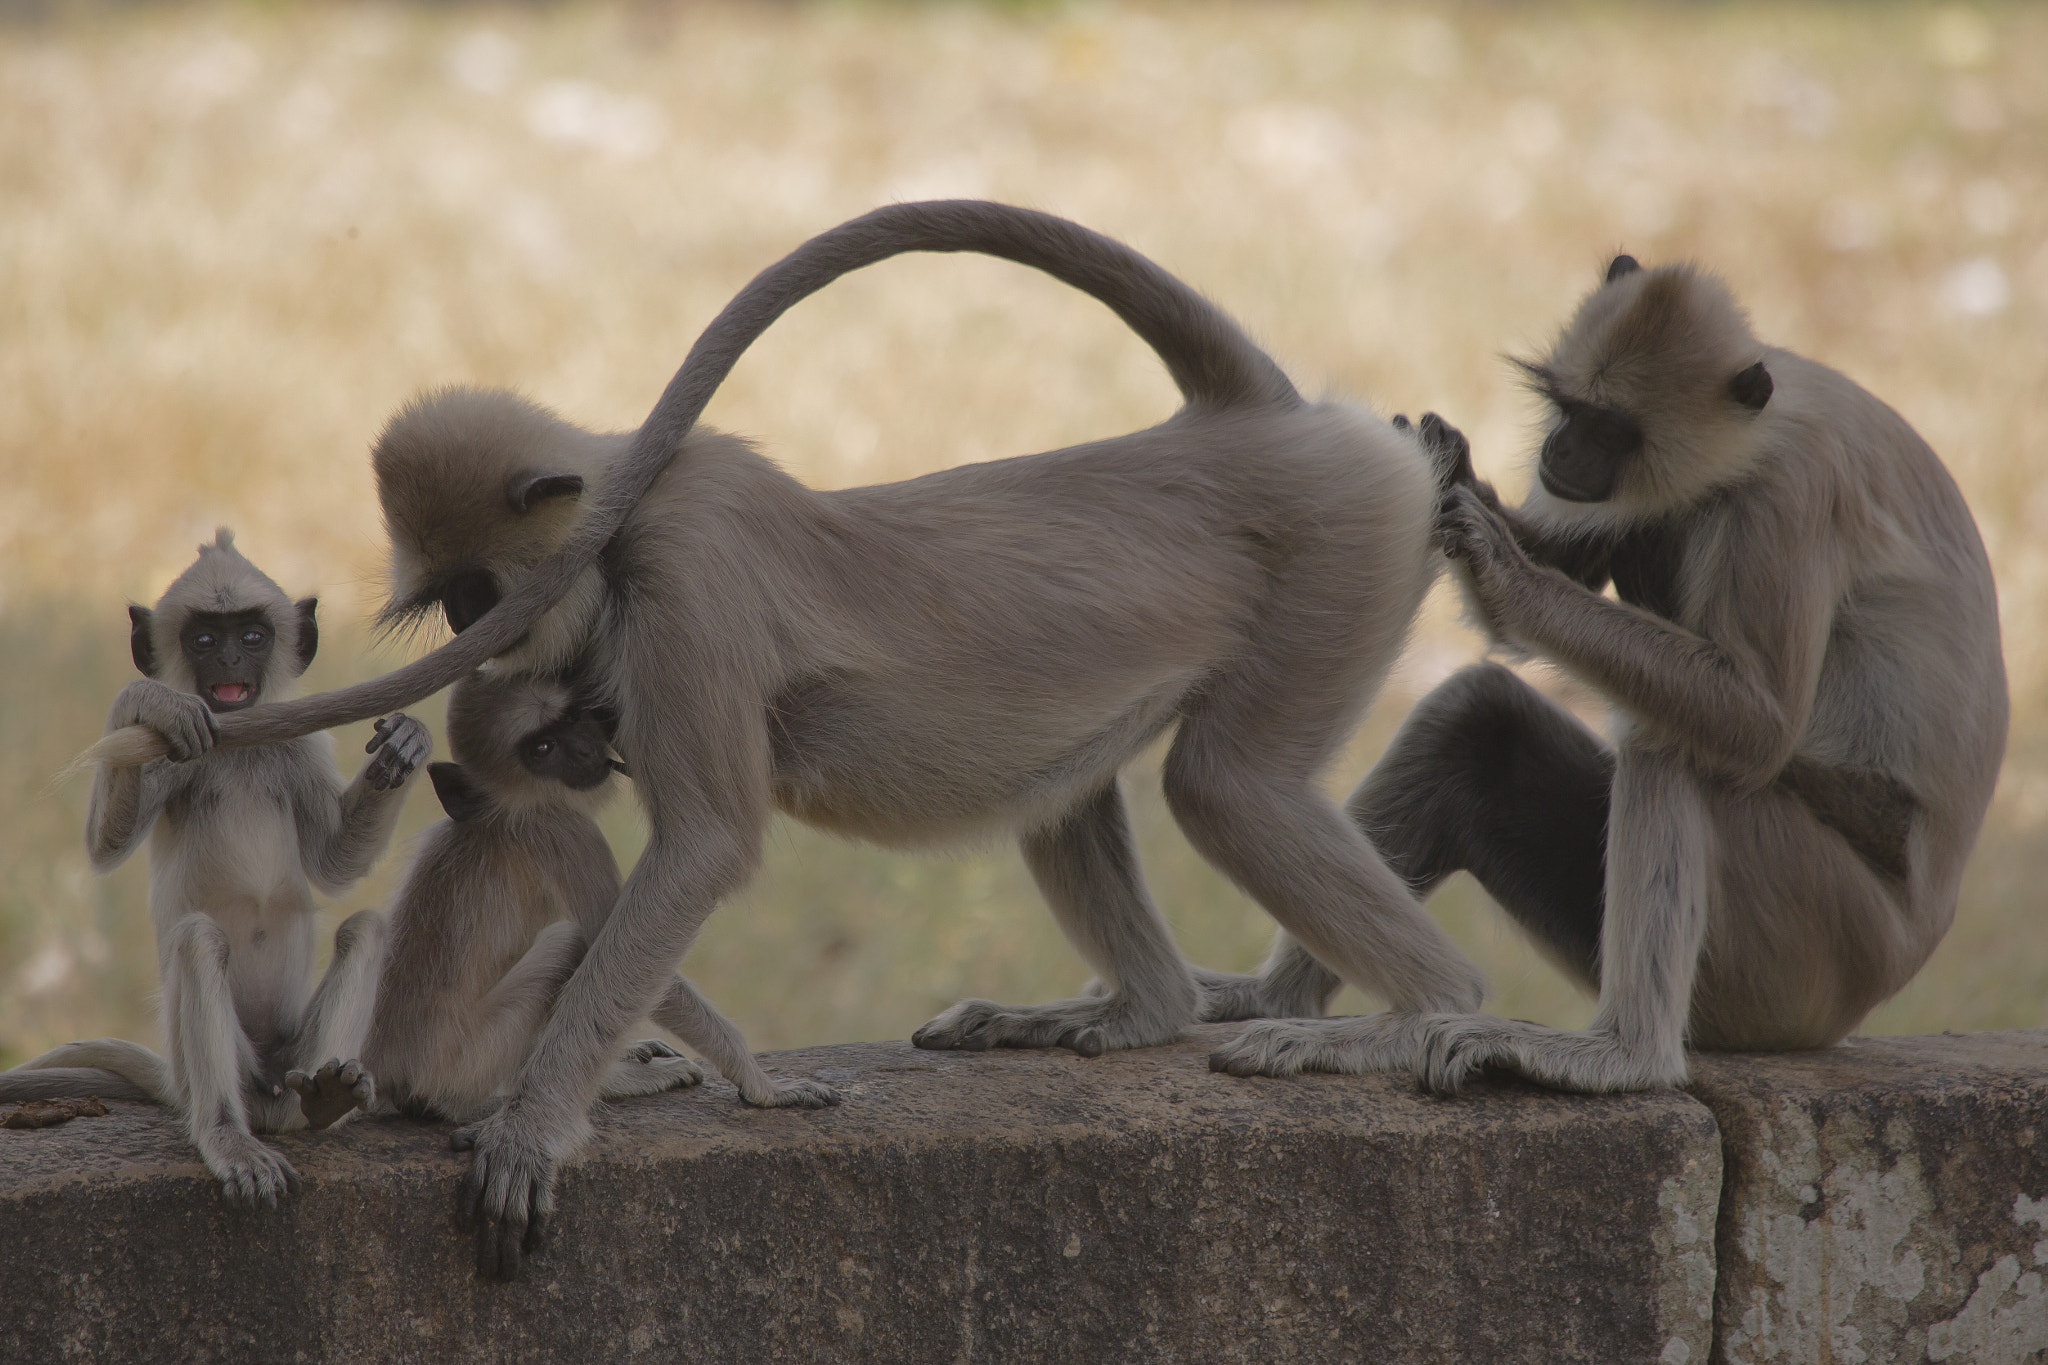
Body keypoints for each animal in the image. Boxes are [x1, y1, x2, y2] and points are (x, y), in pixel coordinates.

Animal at [4, 530, 431, 1205]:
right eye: (205, 640)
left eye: (251, 637)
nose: (230, 661)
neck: (237, 743)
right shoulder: (176, 750)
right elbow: (105, 846)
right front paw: (144, 701)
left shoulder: (298, 743)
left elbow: (335, 865)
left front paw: (406, 744)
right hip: (221, 1067)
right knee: (200, 941)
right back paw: (227, 1136)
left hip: (292, 1059)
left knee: (365, 930)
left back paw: (327, 1100)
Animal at [362, 668, 838, 1119]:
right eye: (543, 749)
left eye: (572, 719)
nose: (588, 752)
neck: (509, 810)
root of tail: (386, 1070)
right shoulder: (567, 833)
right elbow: (626, 946)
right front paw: (763, 1085)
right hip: (465, 1059)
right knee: (568, 942)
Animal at [1206, 256, 2007, 1095]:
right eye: (1566, 408)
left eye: (1612, 430)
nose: (1559, 450)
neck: (1762, 424)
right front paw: (1443, 462)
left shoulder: (1788, 492)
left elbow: (1759, 723)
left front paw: (1506, 570)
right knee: (1479, 713)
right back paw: (1288, 1003)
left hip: (1818, 941)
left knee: (1669, 750)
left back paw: (1626, 1055)